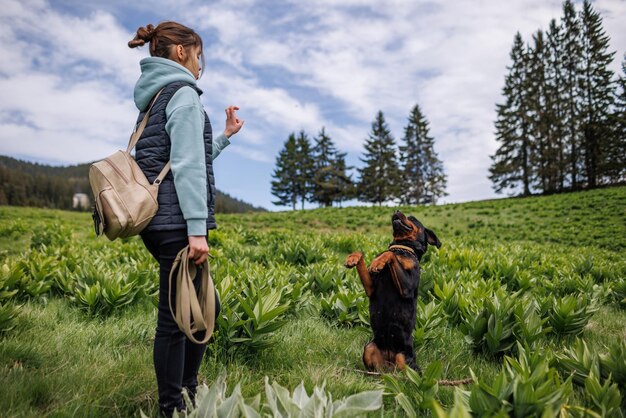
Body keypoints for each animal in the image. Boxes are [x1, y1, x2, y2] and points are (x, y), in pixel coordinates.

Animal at [342, 211, 438, 370]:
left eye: (412, 218)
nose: (396, 211)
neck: (401, 248)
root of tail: (389, 363)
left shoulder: (407, 288)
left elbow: (389, 254)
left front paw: (379, 261)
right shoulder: (371, 288)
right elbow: (362, 254)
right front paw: (353, 257)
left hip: (403, 358)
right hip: (369, 349)